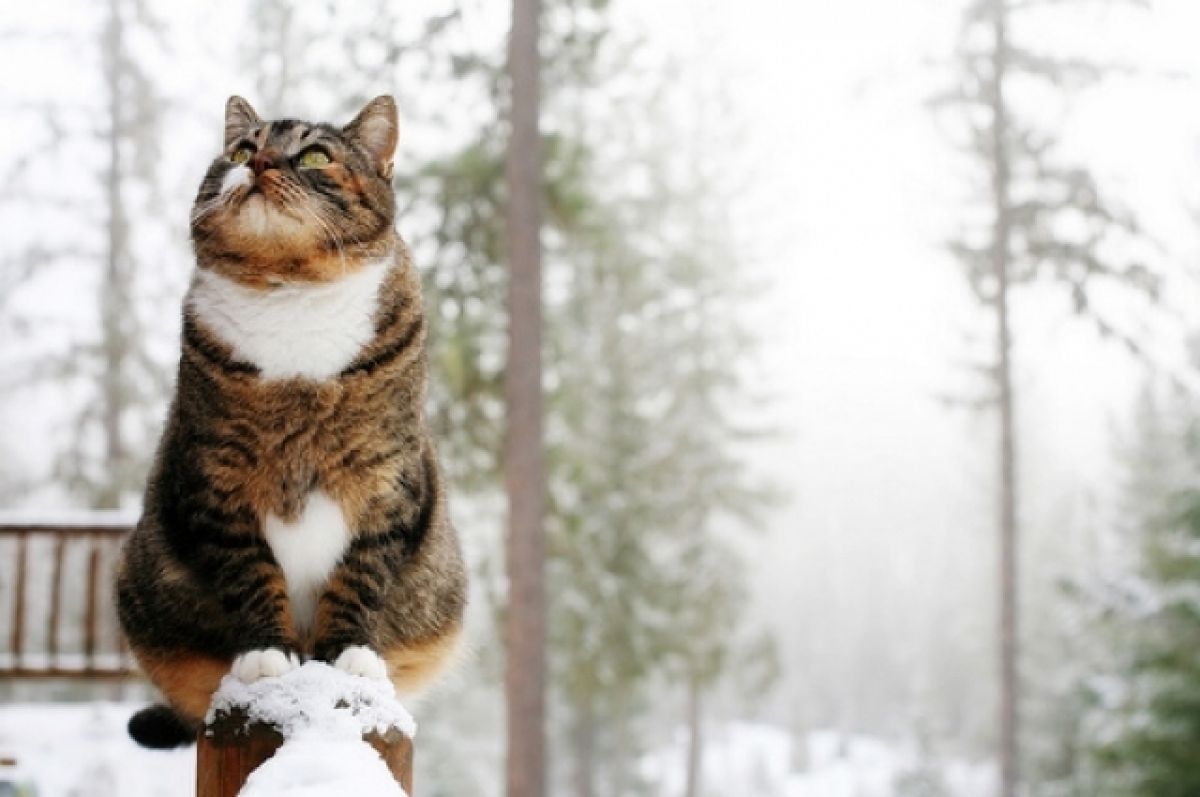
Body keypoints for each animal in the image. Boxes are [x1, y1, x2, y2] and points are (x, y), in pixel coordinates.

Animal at [115, 94, 463, 748]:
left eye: (315, 156)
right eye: (241, 151)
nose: (259, 164)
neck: (292, 293)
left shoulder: (386, 475)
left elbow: (364, 569)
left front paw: (347, 654)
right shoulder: (216, 472)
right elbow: (247, 568)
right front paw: (268, 655)